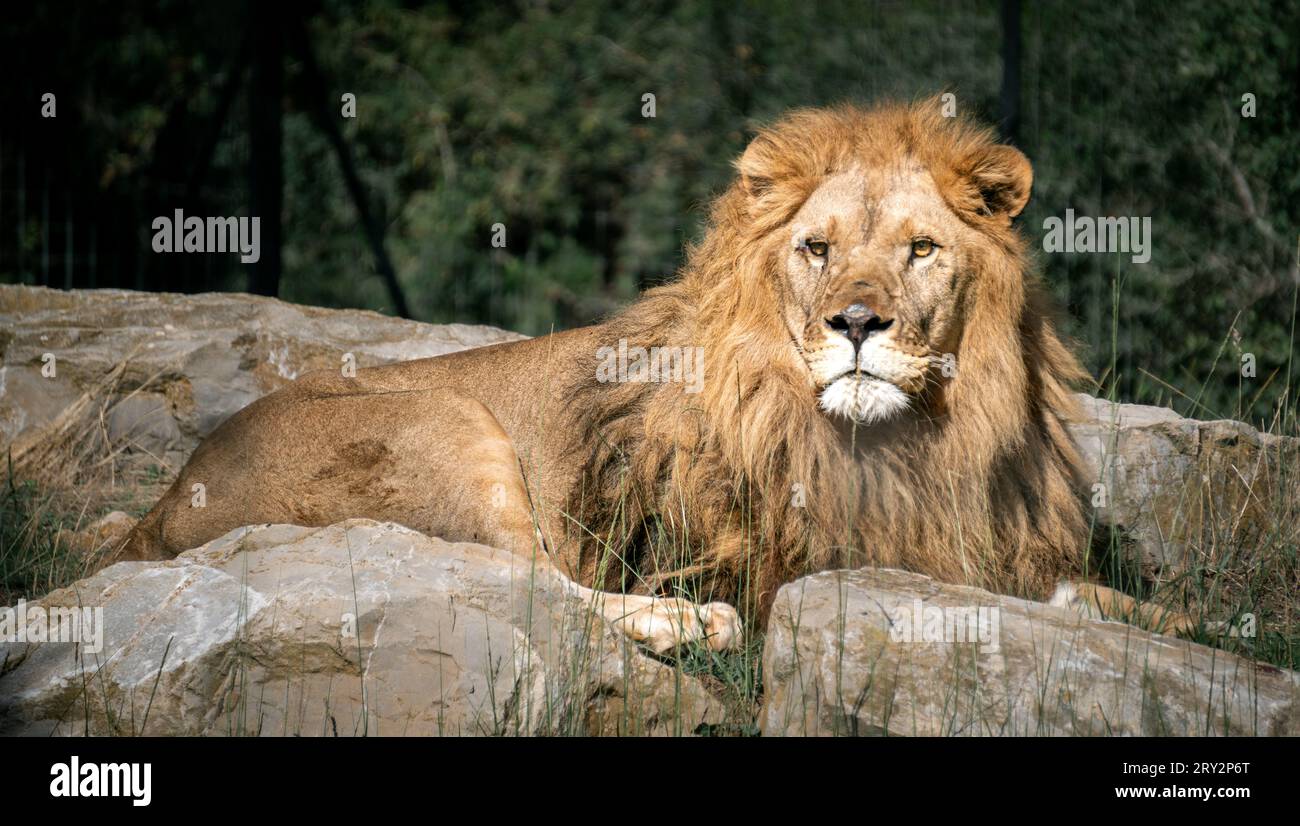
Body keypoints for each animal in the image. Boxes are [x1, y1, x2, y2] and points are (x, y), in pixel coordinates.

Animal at [115, 99, 1192, 653]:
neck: (914, 438)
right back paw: (683, 625)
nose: (855, 323)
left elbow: (1096, 602)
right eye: (816, 248)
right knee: (527, 587)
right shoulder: (780, 557)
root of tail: (160, 508)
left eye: (921, 249)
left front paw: (1191, 623)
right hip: (446, 427)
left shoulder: (989, 550)